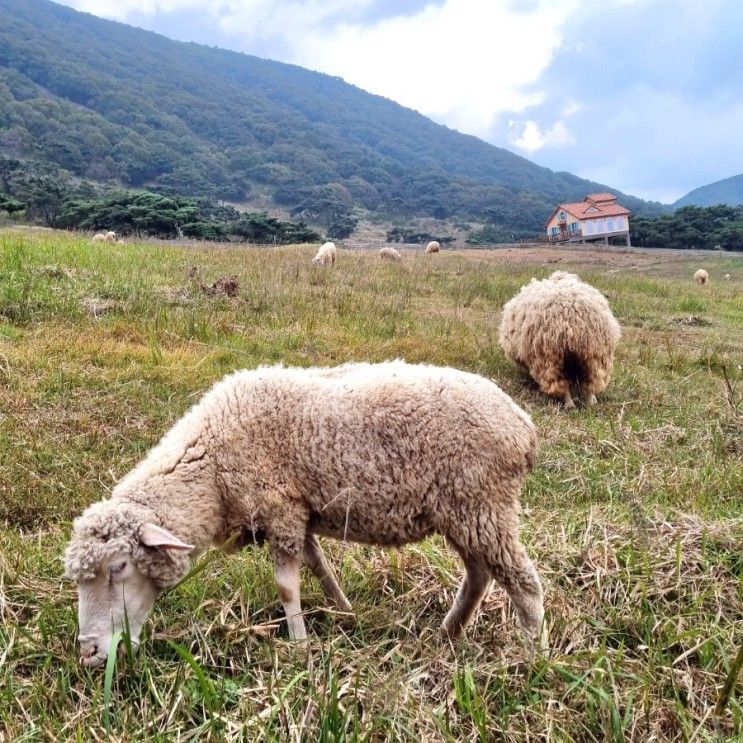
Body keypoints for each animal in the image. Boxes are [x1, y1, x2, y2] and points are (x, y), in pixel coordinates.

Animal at [64, 362, 548, 668]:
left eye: (119, 568)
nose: (89, 654)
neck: (212, 467)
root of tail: (523, 426)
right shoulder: (299, 513)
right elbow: (319, 567)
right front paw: (344, 612)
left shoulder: (280, 509)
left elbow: (286, 586)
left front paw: (298, 645)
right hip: (466, 511)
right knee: (480, 575)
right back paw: (448, 633)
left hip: (483, 503)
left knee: (523, 582)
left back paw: (532, 656)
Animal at [500, 274, 620, 410]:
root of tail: (570, 315)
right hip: (596, 352)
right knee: (593, 380)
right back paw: (591, 402)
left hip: (549, 356)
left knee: (560, 384)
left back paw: (569, 405)